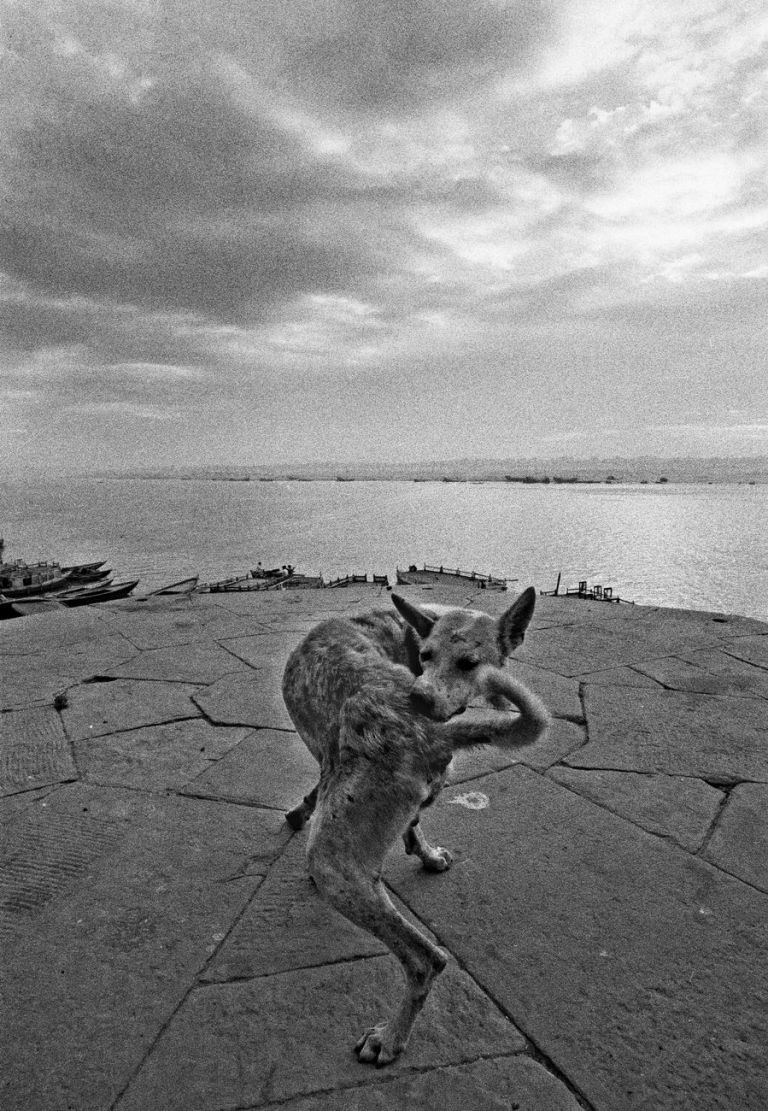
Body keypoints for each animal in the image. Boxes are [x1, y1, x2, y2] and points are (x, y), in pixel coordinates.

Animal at [282, 591, 553, 1066]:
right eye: (426, 656)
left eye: (468, 663)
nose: (422, 696)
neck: (399, 631)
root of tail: (421, 727)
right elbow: (414, 820)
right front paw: (425, 854)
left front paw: (301, 810)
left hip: (332, 863)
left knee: (427, 960)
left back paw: (390, 1038)